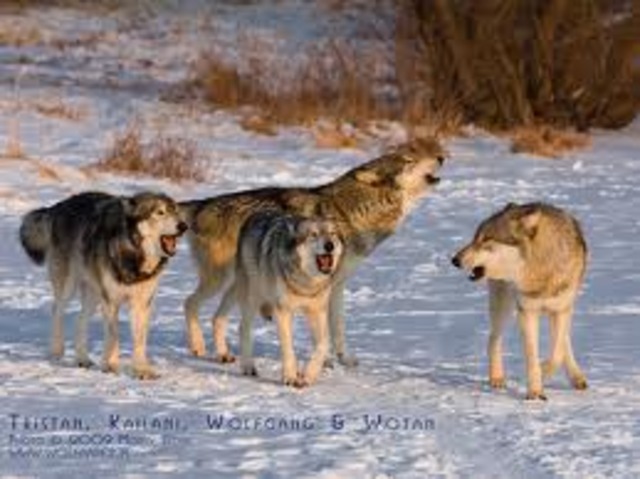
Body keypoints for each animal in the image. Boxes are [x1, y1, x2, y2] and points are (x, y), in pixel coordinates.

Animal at [19, 191, 188, 379]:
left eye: (176, 212)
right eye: (160, 212)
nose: (184, 226)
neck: (133, 254)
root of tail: (57, 206)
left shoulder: (141, 303)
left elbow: (139, 340)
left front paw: (141, 370)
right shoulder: (111, 301)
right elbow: (113, 335)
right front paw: (110, 365)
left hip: (93, 296)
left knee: (80, 320)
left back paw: (82, 359)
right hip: (69, 288)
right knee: (57, 311)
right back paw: (57, 351)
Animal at [180, 138, 446, 366]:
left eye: (413, 155)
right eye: (408, 160)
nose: (442, 157)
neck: (349, 212)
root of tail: (202, 204)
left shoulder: (336, 285)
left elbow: (337, 327)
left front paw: (344, 359)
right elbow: (322, 331)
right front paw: (325, 361)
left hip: (240, 284)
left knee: (217, 317)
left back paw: (223, 354)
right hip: (221, 280)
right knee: (189, 302)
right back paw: (198, 346)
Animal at [235, 211, 344, 387]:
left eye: (332, 233)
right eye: (313, 234)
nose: (329, 245)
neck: (306, 283)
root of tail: (255, 215)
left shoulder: (317, 311)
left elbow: (323, 343)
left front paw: (309, 375)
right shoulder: (283, 311)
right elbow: (287, 346)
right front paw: (290, 376)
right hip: (253, 298)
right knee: (243, 328)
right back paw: (248, 366)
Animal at [452, 202, 588, 400]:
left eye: (486, 239)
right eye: (475, 238)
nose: (454, 260)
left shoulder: (562, 309)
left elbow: (557, 353)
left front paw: (543, 372)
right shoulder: (526, 311)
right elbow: (532, 355)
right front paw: (535, 391)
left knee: (563, 341)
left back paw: (577, 377)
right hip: (504, 305)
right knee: (493, 339)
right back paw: (496, 378)